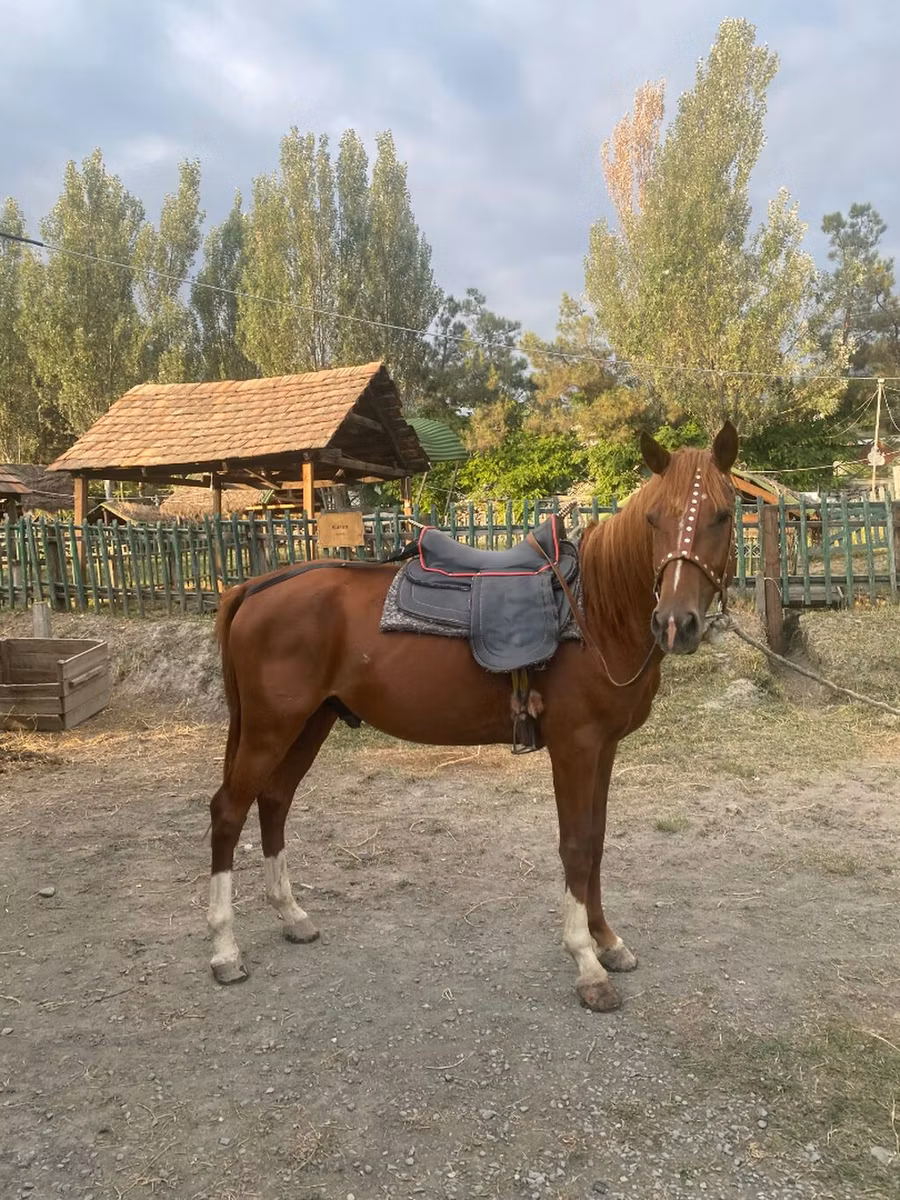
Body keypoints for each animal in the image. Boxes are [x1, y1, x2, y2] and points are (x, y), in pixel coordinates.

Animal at [206, 422, 738, 1011]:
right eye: (653, 519)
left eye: (723, 514)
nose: (674, 623)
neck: (594, 611)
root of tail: (254, 587)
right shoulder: (575, 748)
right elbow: (576, 846)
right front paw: (587, 963)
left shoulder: (604, 747)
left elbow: (596, 840)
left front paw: (608, 942)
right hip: (269, 728)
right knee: (229, 812)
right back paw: (225, 951)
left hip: (309, 723)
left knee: (274, 801)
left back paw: (292, 915)